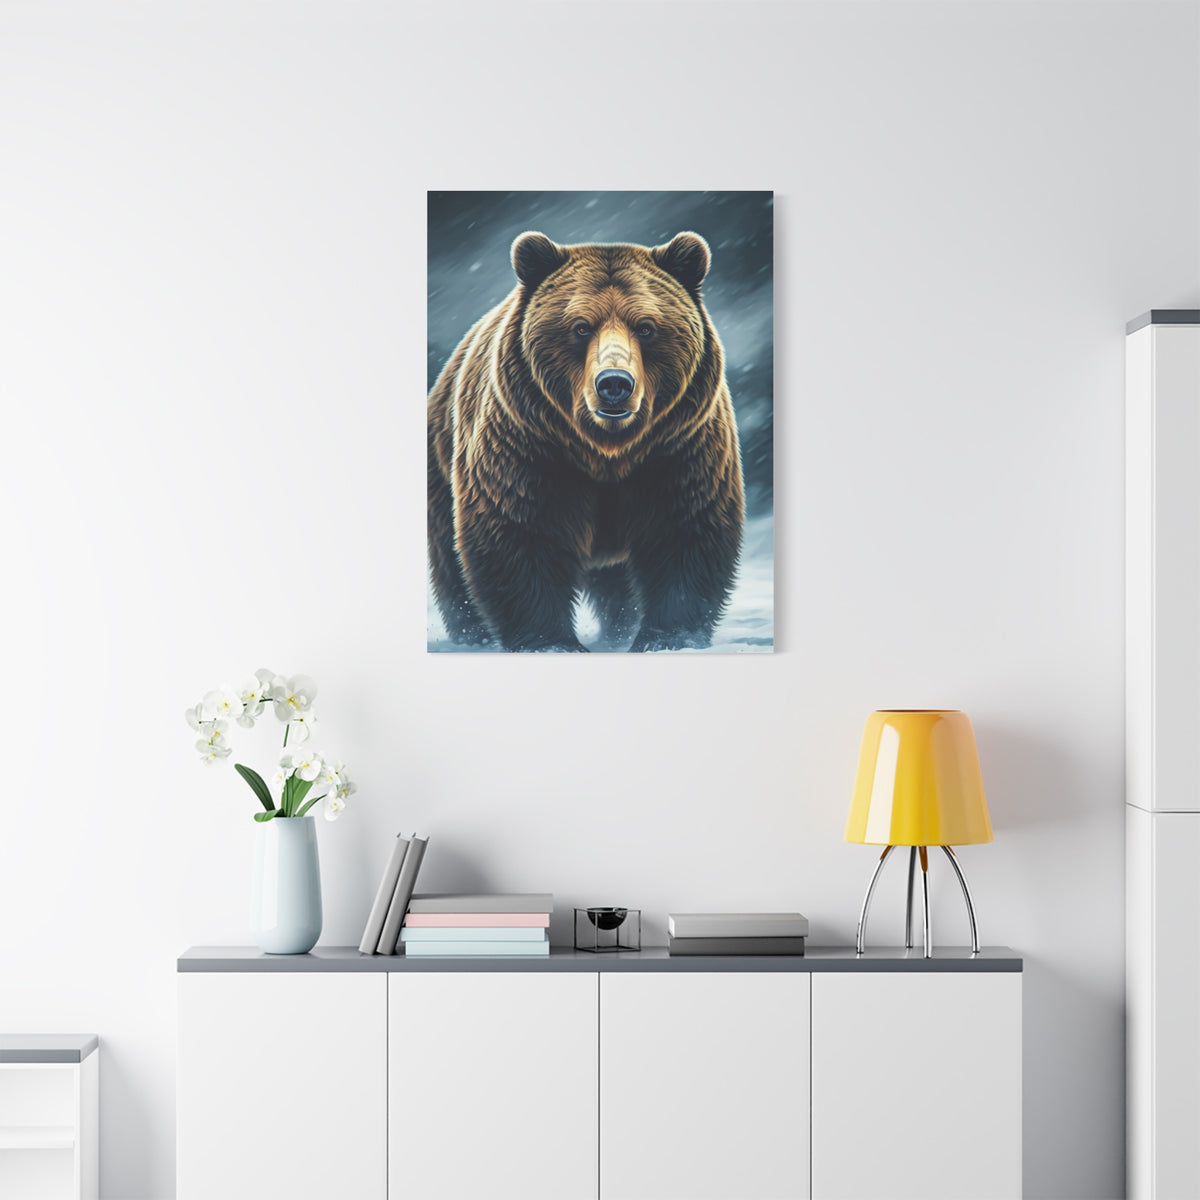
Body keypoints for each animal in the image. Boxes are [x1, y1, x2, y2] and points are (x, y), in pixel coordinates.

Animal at [427, 230, 744, 652]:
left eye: (646, 327)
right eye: (581, 327)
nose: (614, 383)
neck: (606, 451)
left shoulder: (679, 448)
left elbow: (686, 531)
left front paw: (668, 638)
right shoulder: (527, 446)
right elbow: (519, 531)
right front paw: (550, 641)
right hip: (441, 464)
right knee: (451, 564)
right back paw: (472, 636)